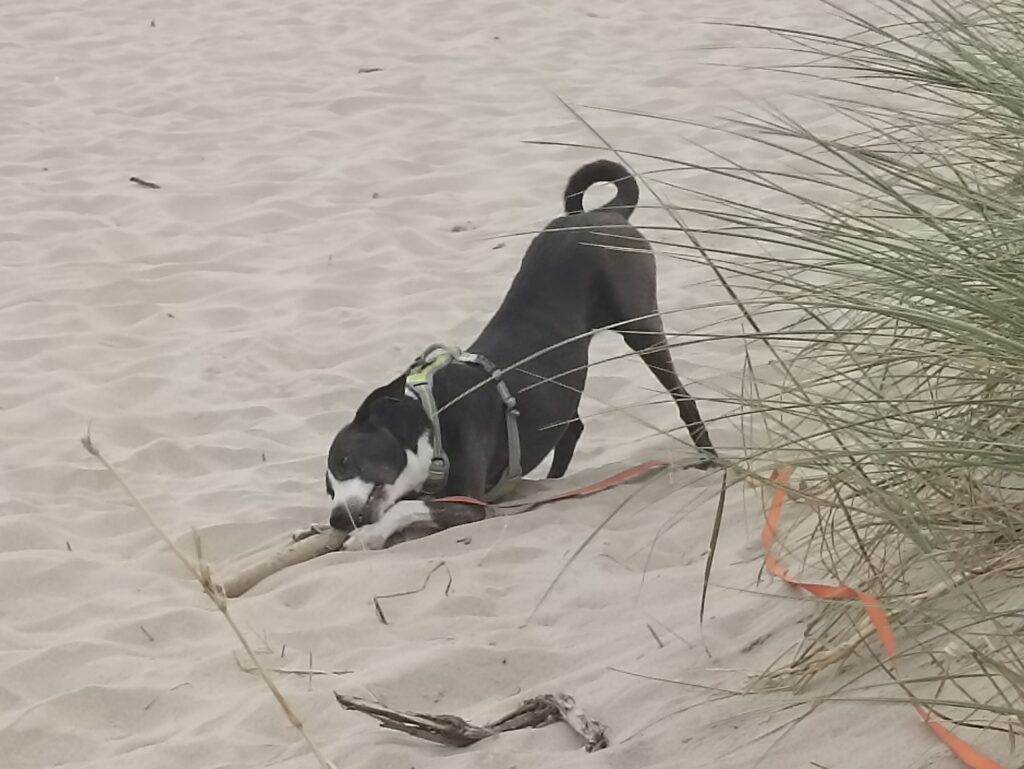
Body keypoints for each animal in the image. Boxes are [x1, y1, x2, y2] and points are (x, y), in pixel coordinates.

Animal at [323, 159, 716, 548]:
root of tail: (603, 213)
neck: (429, 420)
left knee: (681, 396)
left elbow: (407, 507)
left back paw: (708, 457)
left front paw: (368, 534)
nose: (337, 518)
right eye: (329, 490)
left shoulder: (471, 504)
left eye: (345, 460)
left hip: (639, 323)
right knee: (571, 428)